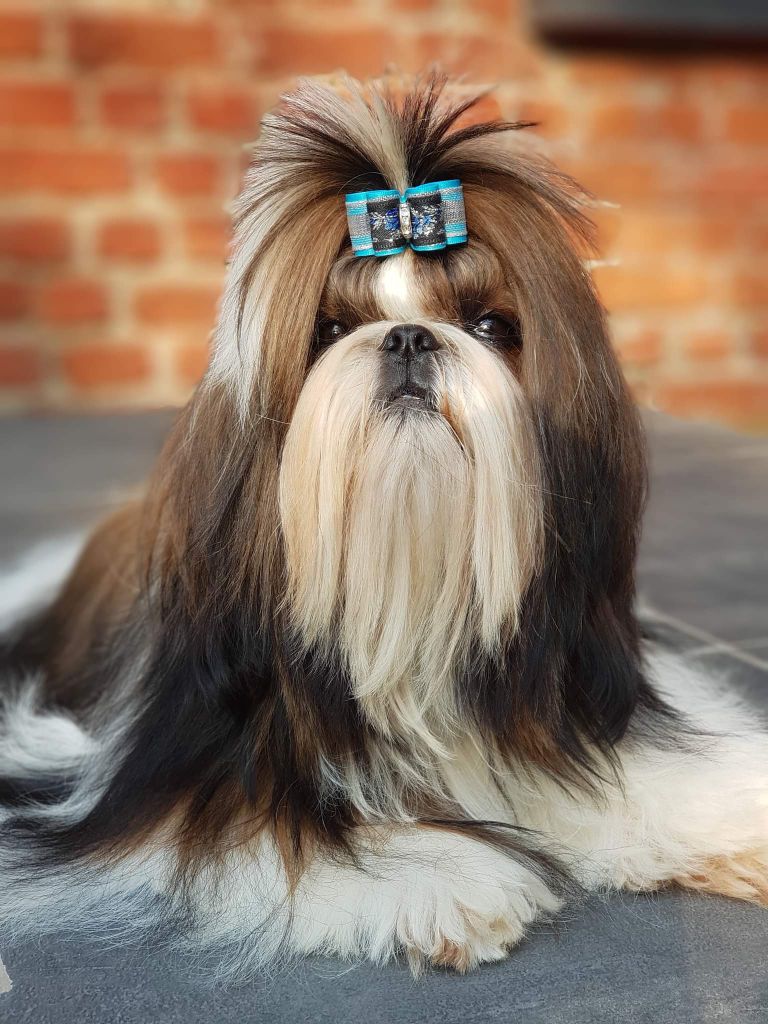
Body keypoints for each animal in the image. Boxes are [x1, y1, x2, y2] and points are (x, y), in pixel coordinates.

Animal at [0, 74, 766, 979]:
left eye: (490, 326)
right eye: (328, 331)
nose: (405, 338)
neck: (410, 610)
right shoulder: (194, 763)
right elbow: (270, 827)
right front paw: (436, 877)